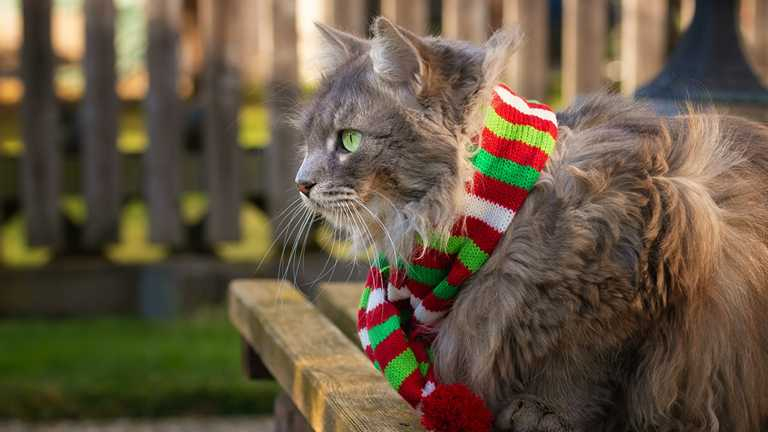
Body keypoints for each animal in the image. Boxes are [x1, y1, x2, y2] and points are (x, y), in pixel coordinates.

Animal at [294, 17, 768, 432]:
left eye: (349, 139)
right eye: (308, 142)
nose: (302, 182)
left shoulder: (649, 261)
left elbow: (581, 370)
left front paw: (545, 412)